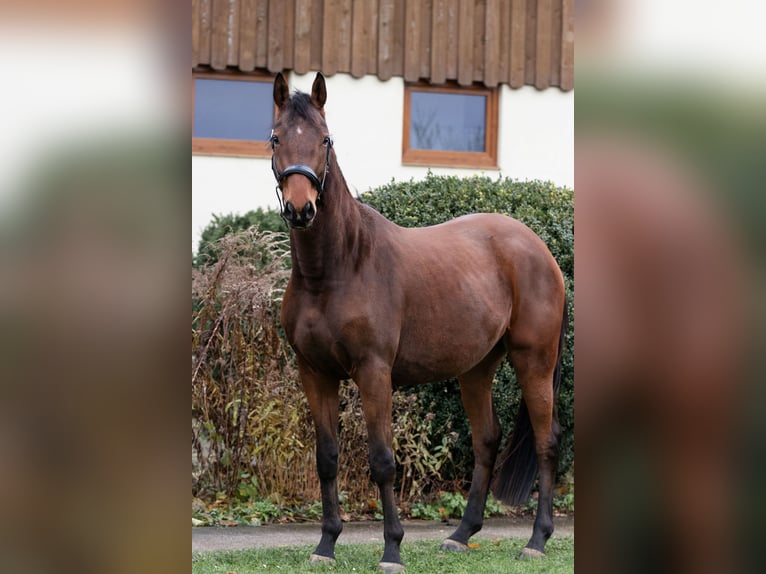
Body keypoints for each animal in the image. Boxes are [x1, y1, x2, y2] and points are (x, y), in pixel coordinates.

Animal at [272, 73, 568, 574]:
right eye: (275, 138)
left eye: (326, 139)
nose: (300, 208)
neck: (338, 267)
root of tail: (541, 251)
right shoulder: (314, 374)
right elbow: (327, 458)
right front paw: (326, 545)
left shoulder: (374, 373)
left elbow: (382, 460)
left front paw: (392, 549)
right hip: (477, 368)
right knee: (486, 441)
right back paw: (461, 535)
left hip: (535, 361)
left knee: (547, 441)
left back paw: (537, 540)